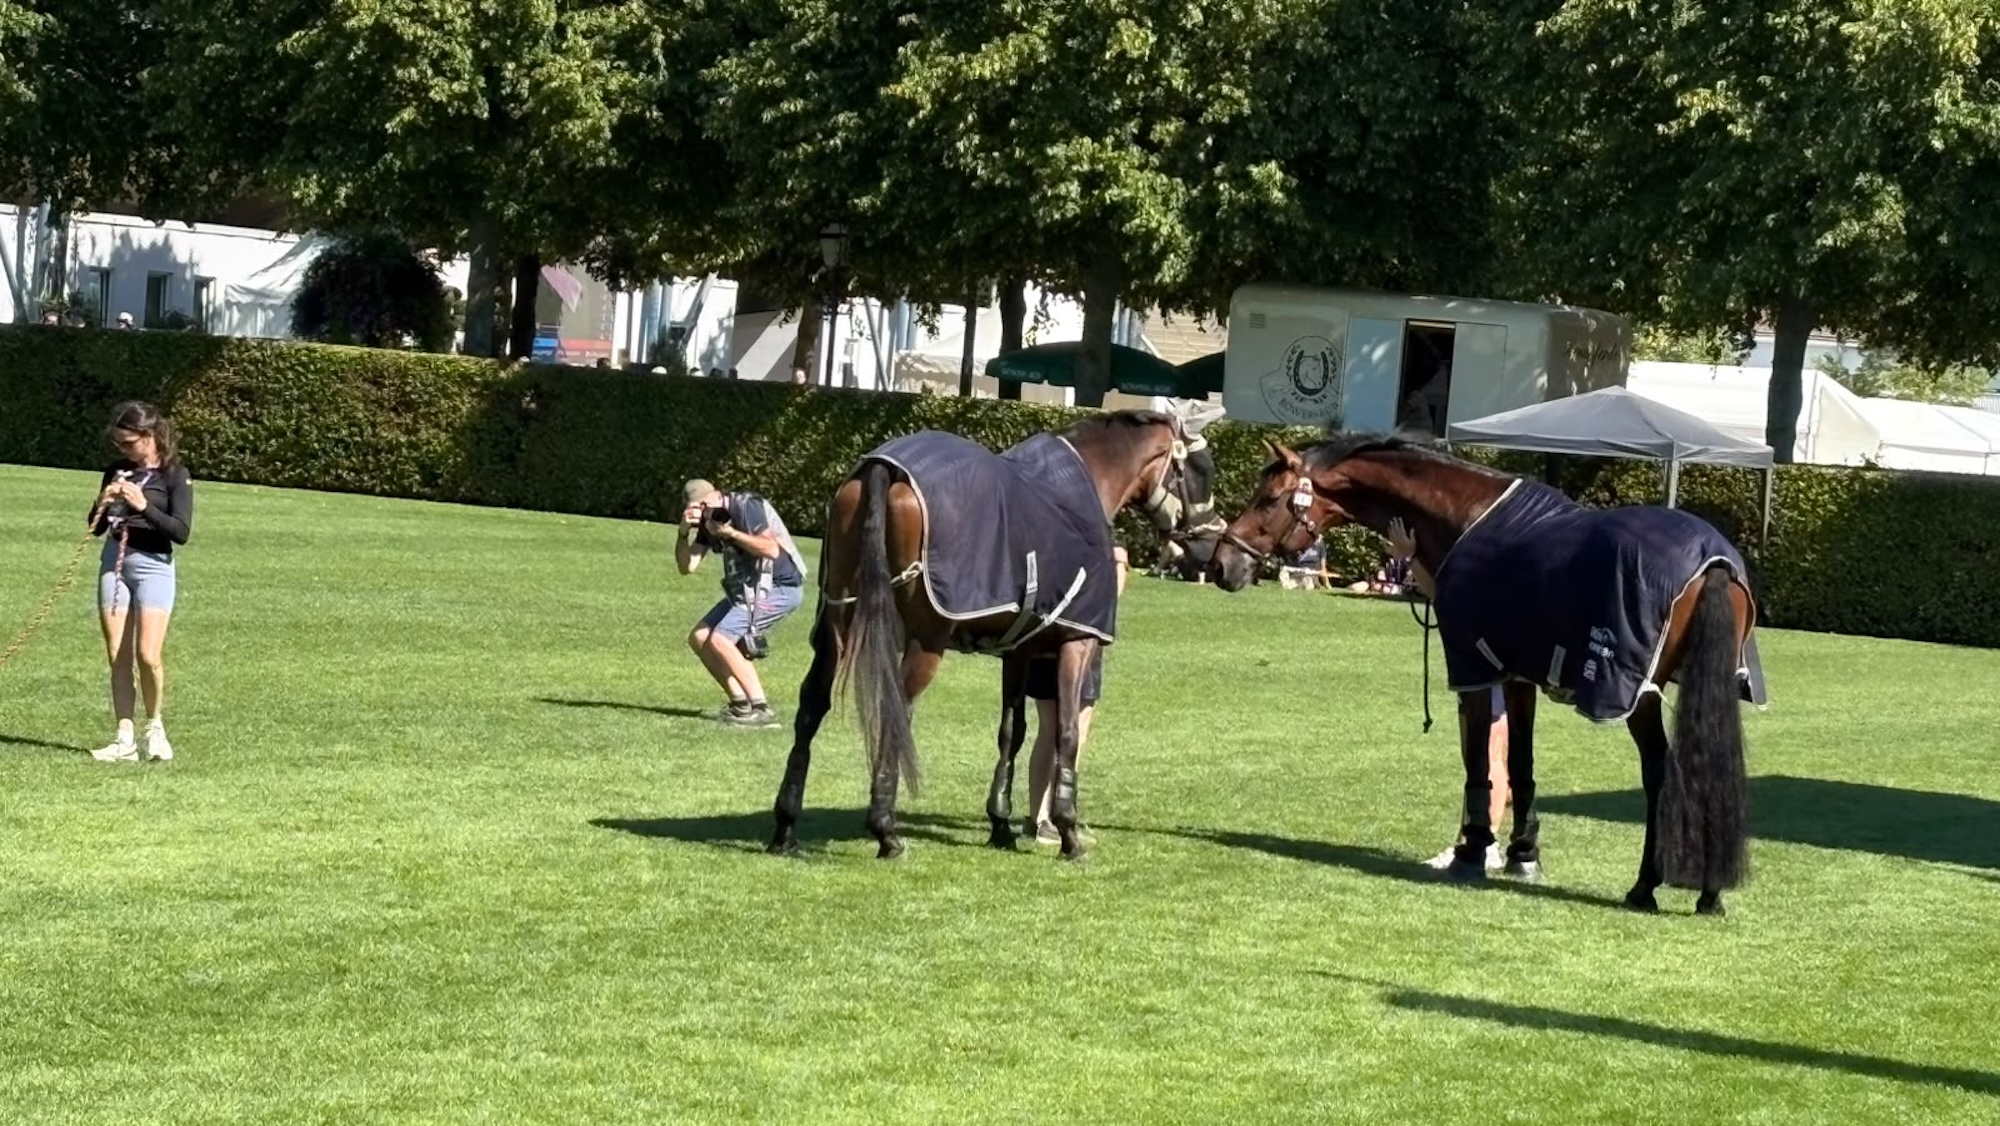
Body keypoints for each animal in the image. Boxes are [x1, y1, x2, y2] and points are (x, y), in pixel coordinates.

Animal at [768, 409, 1223, 861]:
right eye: (1202, 469)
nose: (1209, 549)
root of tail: (884, 466)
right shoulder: (1077, 643)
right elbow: (1067, 733)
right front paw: (1069, 832)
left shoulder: (1018, 652)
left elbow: (1012, 731)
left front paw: (1000, 824)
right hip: (925, 641)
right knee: (895, 710)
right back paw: (885, 831)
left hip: (838, 623)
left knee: (812, 705)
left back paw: (785, 826)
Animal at [1209, 433, 1762, 916]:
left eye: (1269, 499)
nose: (1221, 564)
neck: (1469, 516)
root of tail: (1712, 562)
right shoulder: (1517, 674)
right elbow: (1520, 763)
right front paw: (1523, 854)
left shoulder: (1472, 666)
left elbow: (1479, 762)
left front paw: (1472, 852)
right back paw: (1708, 893)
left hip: (1636, 693)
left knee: (1661, 772)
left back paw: (1647, 886)